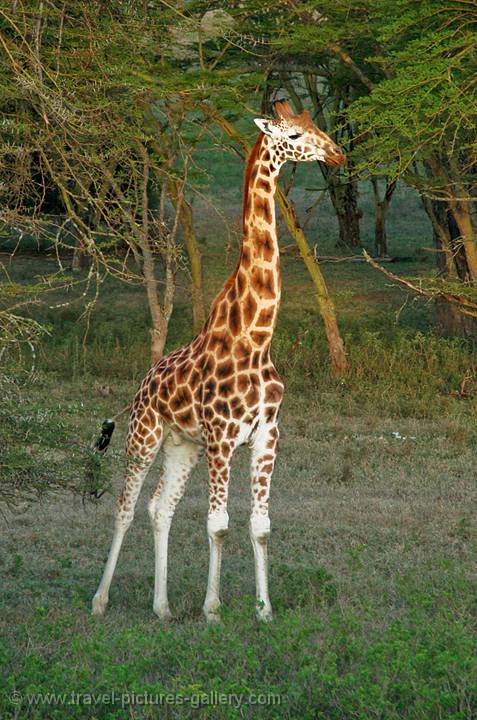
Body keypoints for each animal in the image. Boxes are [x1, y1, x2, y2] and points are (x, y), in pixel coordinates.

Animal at [91, 98, 344, 620]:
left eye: (314, 126)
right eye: (293, 134)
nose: (337, 154)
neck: (256, 337)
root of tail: (142, 383)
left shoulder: (266, 436)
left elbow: (260, 525)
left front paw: (264, 610)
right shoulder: (223, 439)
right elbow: (218, 523)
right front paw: (213, 609)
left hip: (181, 444)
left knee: (160, 508)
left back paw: (163, 607)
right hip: (145, 435)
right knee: (126, 506)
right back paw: (100, 600)